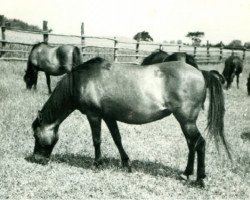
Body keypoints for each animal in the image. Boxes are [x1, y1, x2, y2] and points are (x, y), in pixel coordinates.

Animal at [30, 56, 230, 188]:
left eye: (35, 135)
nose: (37, 159)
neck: (82, 80)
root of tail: (201, 73)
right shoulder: (109, 117)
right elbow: (117, 139)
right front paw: (126, 164)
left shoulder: (94, 115)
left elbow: (97, 140)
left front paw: (97, 163)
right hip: (185, 122)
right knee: (191, 144)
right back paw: (186, 174)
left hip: (186, 121)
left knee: (199, 143)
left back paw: (200, 179)